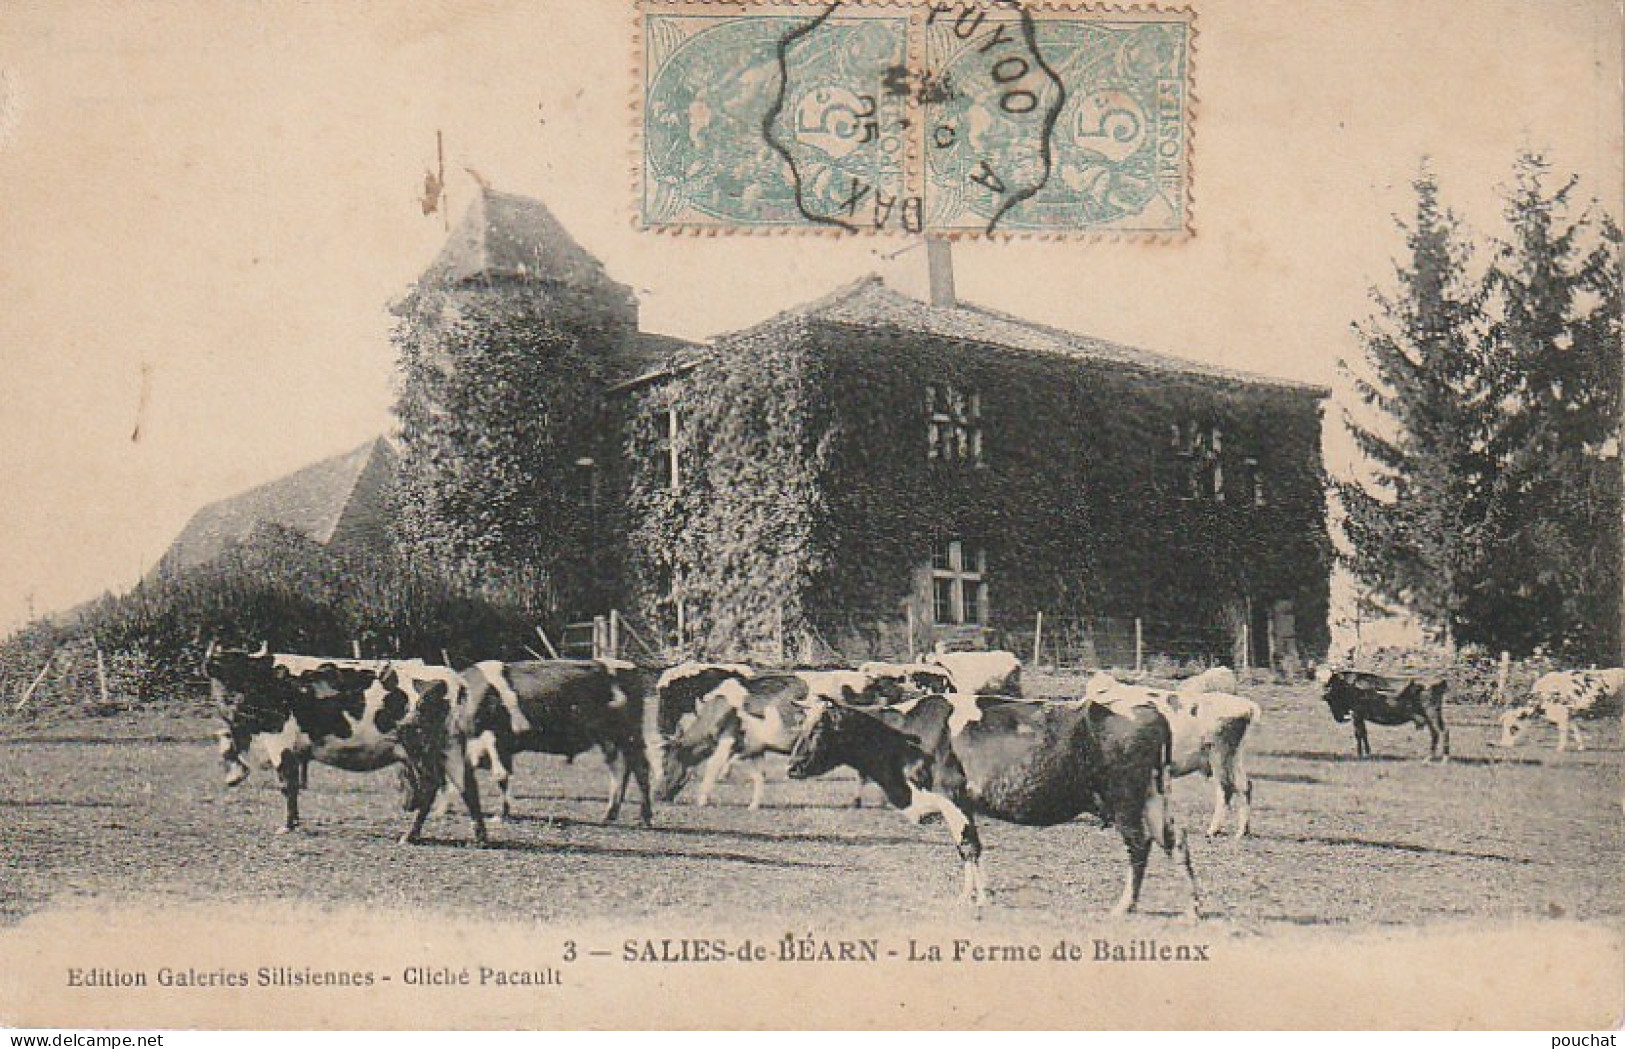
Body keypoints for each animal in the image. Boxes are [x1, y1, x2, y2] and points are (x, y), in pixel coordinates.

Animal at [206, 649, 481, 844]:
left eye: (234, 672)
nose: (229, 705)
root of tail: (452, 677)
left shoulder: (279, 740)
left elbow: (287, 784)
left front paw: (287, 825)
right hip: (451, 746)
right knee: (467, 785)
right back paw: (480, 837)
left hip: (418, 745)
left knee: (430, 786)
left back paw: (410, 835)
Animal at [455, 662, 650, 824]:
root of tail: (629, 667)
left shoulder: (494, 740)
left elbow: (500, 776)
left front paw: (502, 815)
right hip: (610, 740)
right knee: (620, 769)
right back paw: (611, 815)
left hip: (626, 736)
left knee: (639, 769)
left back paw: (643, 817)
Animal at [786, 698, 1209, 922]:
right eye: (799, 726)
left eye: (819, 730)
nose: (791, 767)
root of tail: (1149, 708)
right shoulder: (963, 804)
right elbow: (966, 849)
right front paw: (968, 896)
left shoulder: (950, 795)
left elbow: (969, 847)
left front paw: (981, 899)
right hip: (1154, 795)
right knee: (1177, 841)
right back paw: (1193, 907)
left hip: (1124, 798)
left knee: (1139, 846)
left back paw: (1125, 905)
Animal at [1085, 678, 1261, 844]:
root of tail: (1247, 706)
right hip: (1235, 756)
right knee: (1245, 786)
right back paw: (1241, 833)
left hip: (1218, 752)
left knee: (1225, 787)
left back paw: (1212, 831)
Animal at [1495, 669, 1625, 753]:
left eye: (1513, 728)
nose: (1503, 744)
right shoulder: (1570, 715)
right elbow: (1575, 730)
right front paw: (1581, 747)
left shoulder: (1563, 714)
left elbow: (1563, 731)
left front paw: (1559, 749)